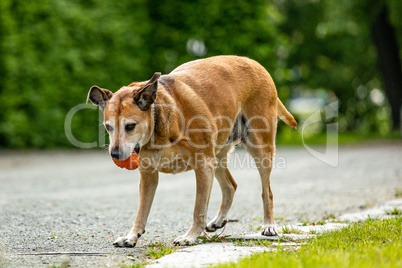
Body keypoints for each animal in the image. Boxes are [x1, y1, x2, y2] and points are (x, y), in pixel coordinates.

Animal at [86, 55, 296, 247]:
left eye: (130, 126)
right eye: (108, 127)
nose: (115, 154)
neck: (158, 128)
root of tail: (255, 63)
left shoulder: (203, 166)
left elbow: (198, 208)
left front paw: (190, 236)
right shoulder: (149, 175)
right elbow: (141, 211)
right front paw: (131, 236)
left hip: (259, 149)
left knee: (266, 191)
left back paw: (269, 225)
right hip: (217, 155)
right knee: (230, 185)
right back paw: (218, 220)